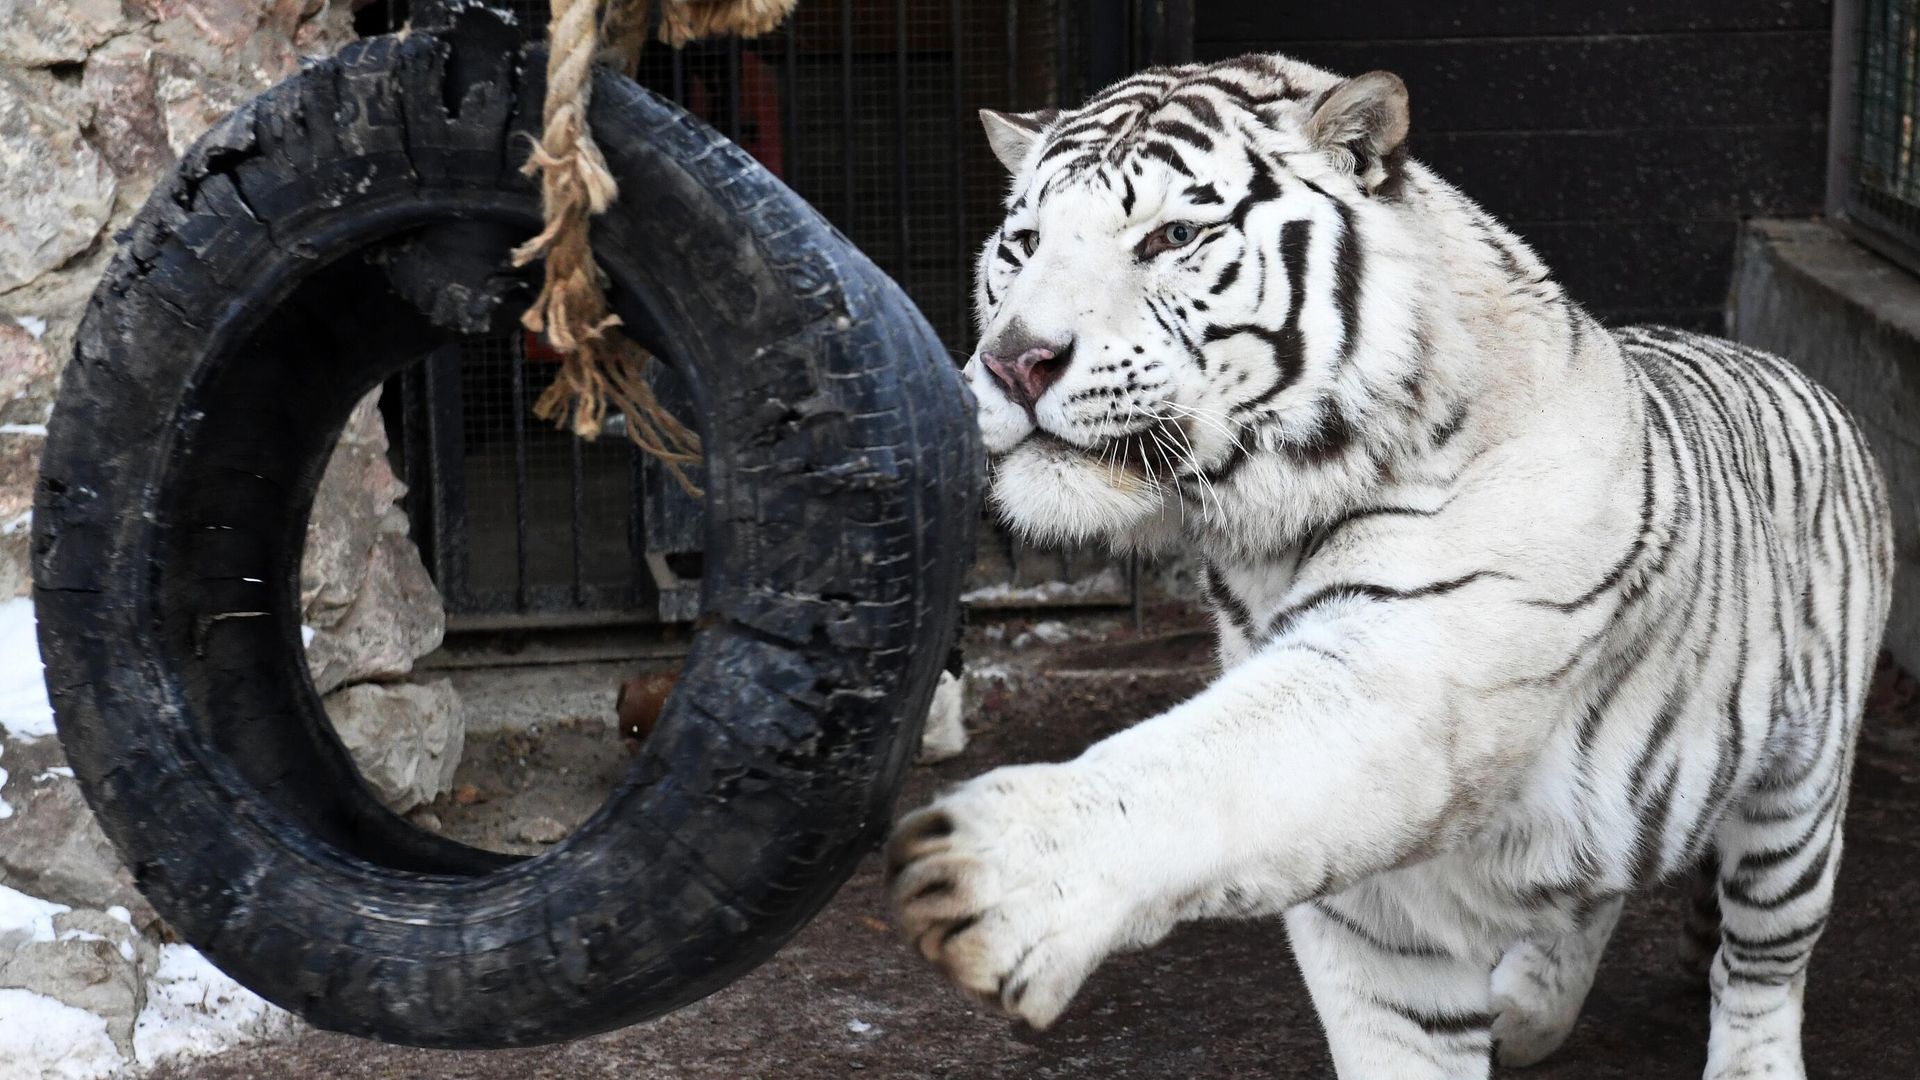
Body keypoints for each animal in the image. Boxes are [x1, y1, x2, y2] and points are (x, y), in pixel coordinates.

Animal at [884, 53, 1895, 1080]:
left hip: (1799, 800)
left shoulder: (1413, 672)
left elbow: (1213, 762)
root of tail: (1788, 364)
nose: (1016, 362)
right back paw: (1531, 1012)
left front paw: (1001, 876)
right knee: (1593, 889)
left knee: (1761, 963)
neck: (1262, 538)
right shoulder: (1379, 917)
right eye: (1023, 244)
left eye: (1173, 236)